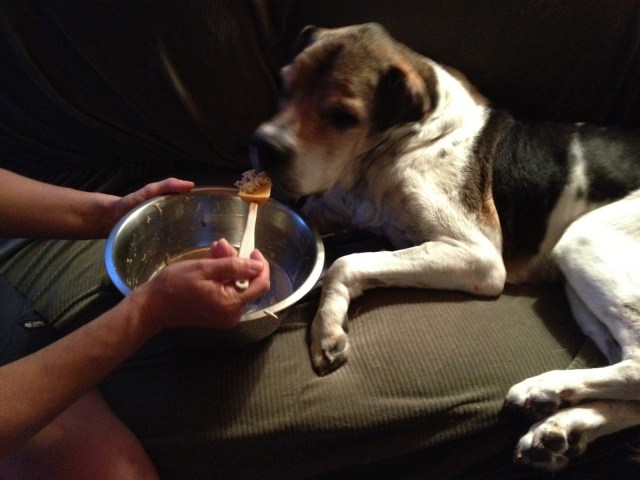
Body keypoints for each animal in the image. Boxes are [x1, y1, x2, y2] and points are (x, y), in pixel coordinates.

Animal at [250, 23, 640, 470]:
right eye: (284, 85)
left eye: (343, 117)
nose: (264, 145)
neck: (406, 140)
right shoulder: (330, 210)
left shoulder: (478, 257)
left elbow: (346, 263)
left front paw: (326, 328)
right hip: (580, 288)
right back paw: (559, 428)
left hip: (585, 240)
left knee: (636, 367)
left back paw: (543, 390)